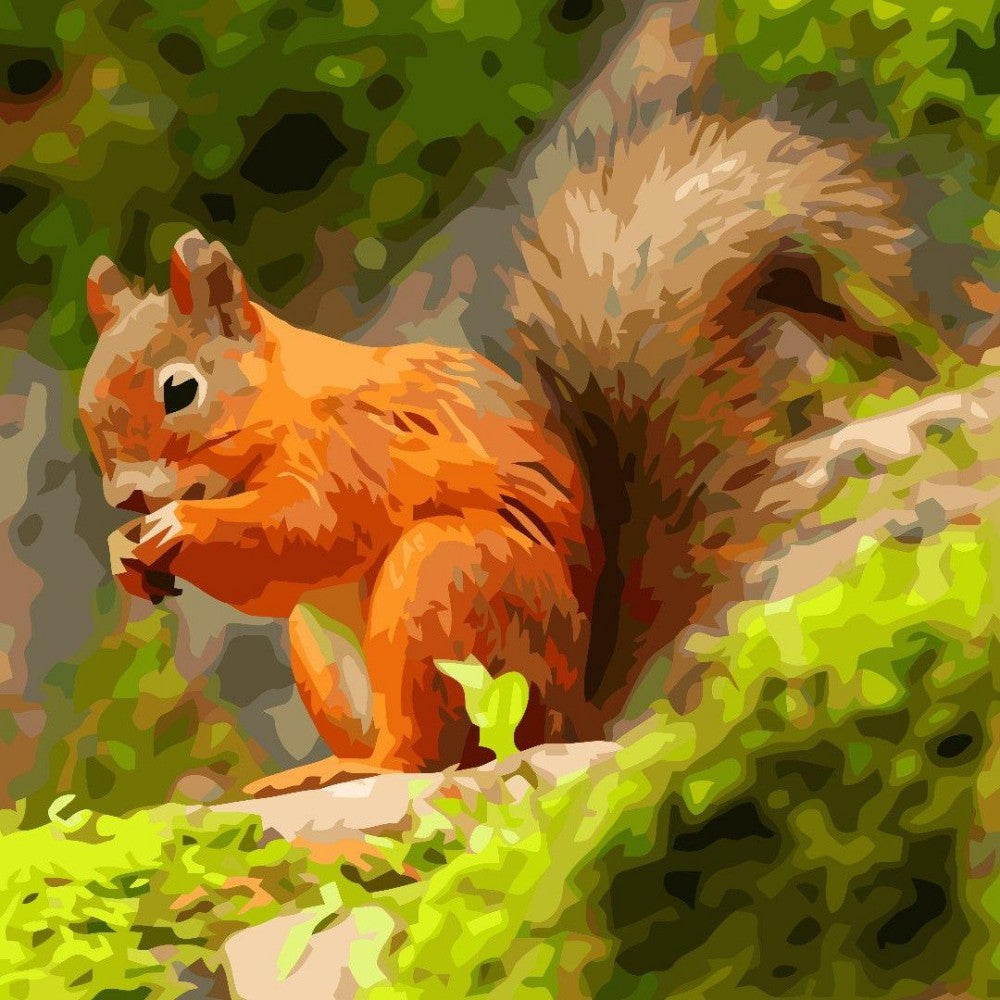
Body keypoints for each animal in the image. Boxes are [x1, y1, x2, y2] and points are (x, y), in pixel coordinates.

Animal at [78, 95, 933, 797]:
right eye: (87, 402)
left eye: (180, 390)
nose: (125, 496)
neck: (278, 405)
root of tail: (579, 712)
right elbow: (274, 580)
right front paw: (126, 554)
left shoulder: (352, 447)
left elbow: (311, 531)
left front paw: (178, 529)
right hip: (327, 645)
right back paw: (322, 768)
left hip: (449, 581)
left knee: (428, 755)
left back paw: (360, 768)